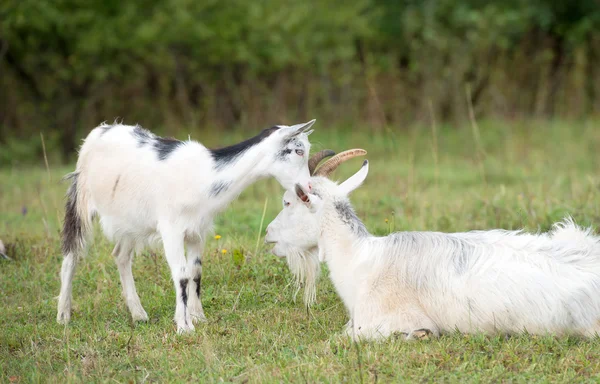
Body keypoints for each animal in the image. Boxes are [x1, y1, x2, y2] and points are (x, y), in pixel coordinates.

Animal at [58, 120, 316, 332]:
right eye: (298, 150)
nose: (309, 187)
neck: (204, 176)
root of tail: (99, 131)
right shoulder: (171, 228)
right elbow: (181, 274)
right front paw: (184, 325)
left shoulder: (197, 230)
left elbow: (196, 272)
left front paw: (199, 316)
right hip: (81, 199)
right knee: (72, 254)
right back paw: (63, 315)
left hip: (130, 219)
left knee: (121, 255)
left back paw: (139, 314)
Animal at [264, 154, 600, 340]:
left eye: (288, 202)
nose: (268, 235)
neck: (363, 262)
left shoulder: (380, 321)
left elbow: (342, 339)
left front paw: (420, 335)